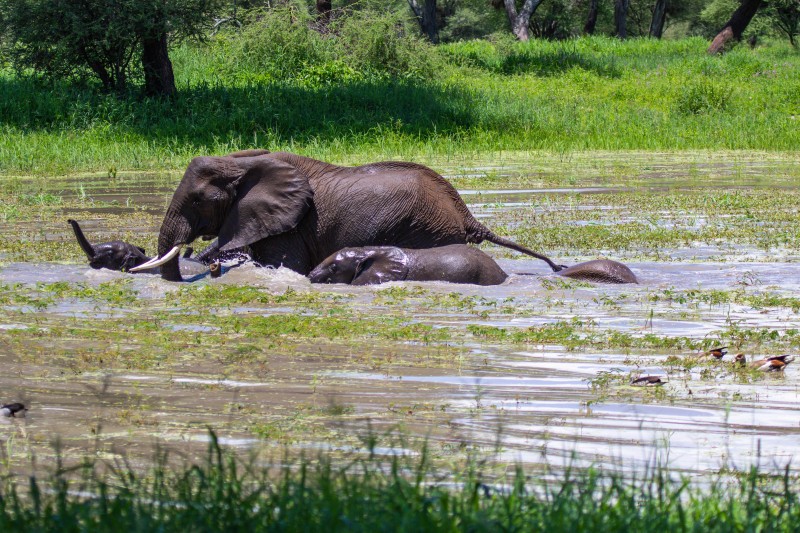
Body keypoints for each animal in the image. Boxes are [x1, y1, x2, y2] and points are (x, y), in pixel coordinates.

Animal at [134, 150, 564, 280]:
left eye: (197, 201)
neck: (241, 160)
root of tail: (463, 210)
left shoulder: (291, 224)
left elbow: (283, 266)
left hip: (427, 229)